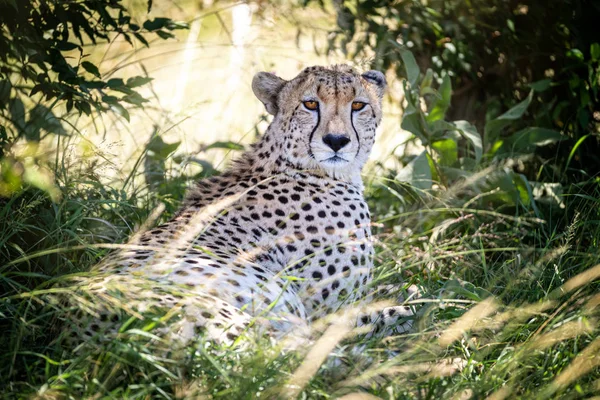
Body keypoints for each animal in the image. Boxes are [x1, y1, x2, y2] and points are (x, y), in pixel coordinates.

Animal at [71, 64, 412, 346]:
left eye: (358, 105)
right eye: (311, 104)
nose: (337, 141)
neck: (295, 164)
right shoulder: (328, 312)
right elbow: (386, 312)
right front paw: (409, 304)